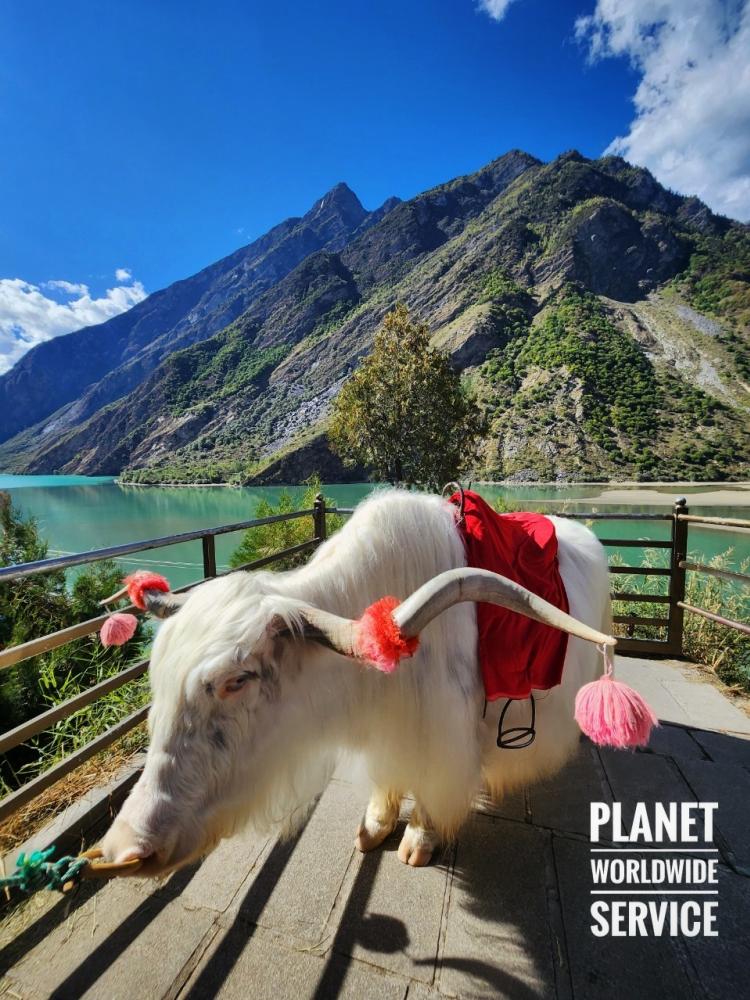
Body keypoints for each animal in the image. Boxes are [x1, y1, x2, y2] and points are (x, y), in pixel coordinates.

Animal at [101, 488, 611, 874]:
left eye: (238, 680)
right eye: (159, 679)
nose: (126, 847)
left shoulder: (443, 731)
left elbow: (432, 788)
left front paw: (418, 841)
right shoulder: (387, 729)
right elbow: (387, 779)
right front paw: (374, 827)